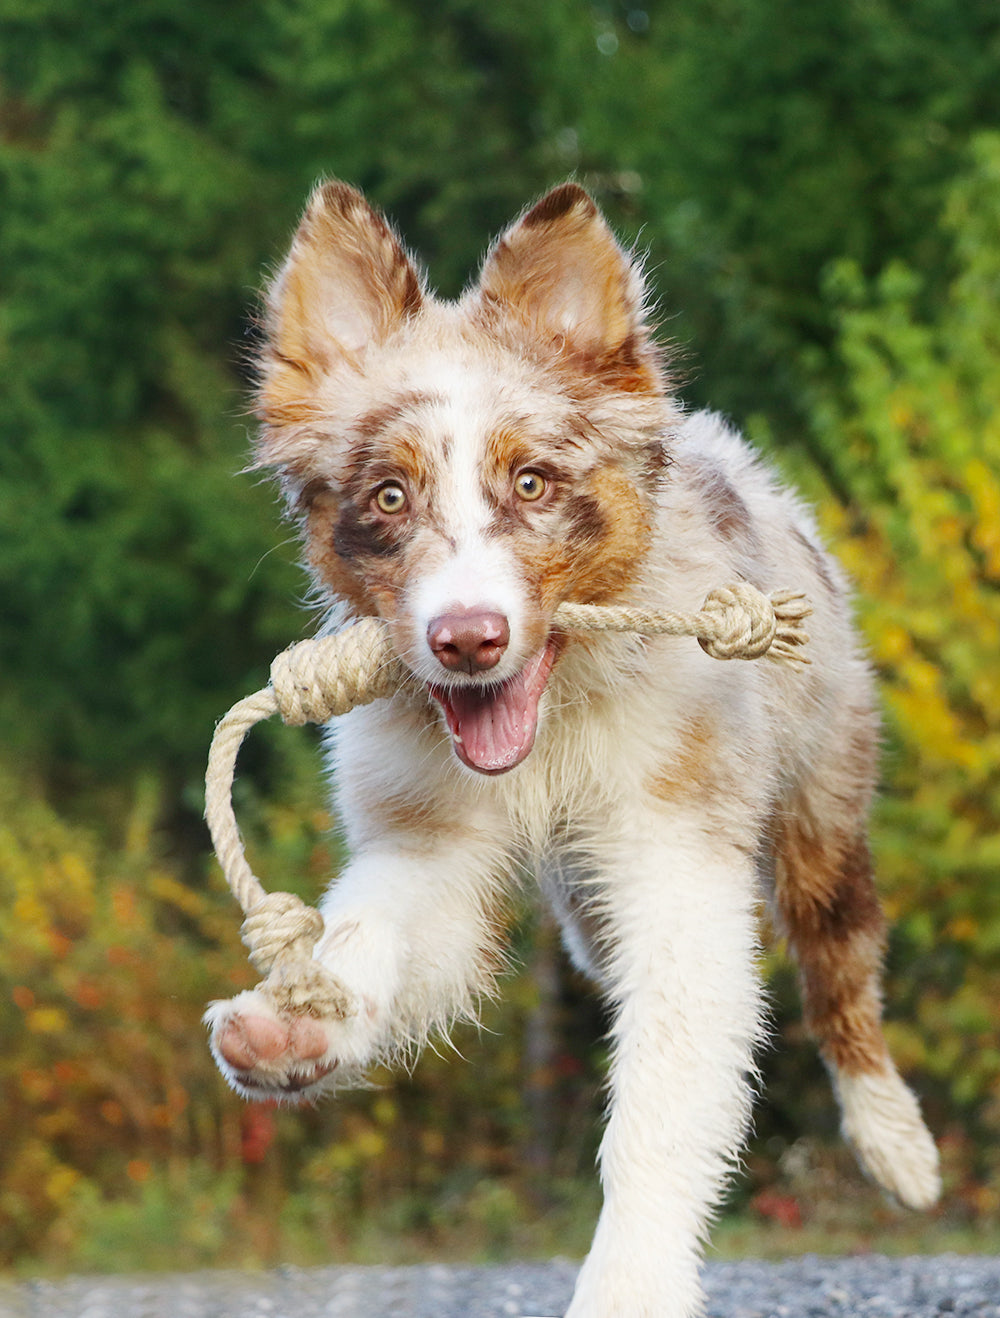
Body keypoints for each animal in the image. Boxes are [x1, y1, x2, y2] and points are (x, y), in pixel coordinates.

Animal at [206, 180, 943, 1312]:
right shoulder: (426, 844)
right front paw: (300, 1025)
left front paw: (630, 1281)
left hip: (825, 785)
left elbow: (663, 1101)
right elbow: (377, 935)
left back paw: (897, 1144)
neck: (550, 731)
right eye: (389, 497)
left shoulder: (676, 857)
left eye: (533, 485)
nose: (467, 638)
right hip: (589, 908)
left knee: (840, 964)